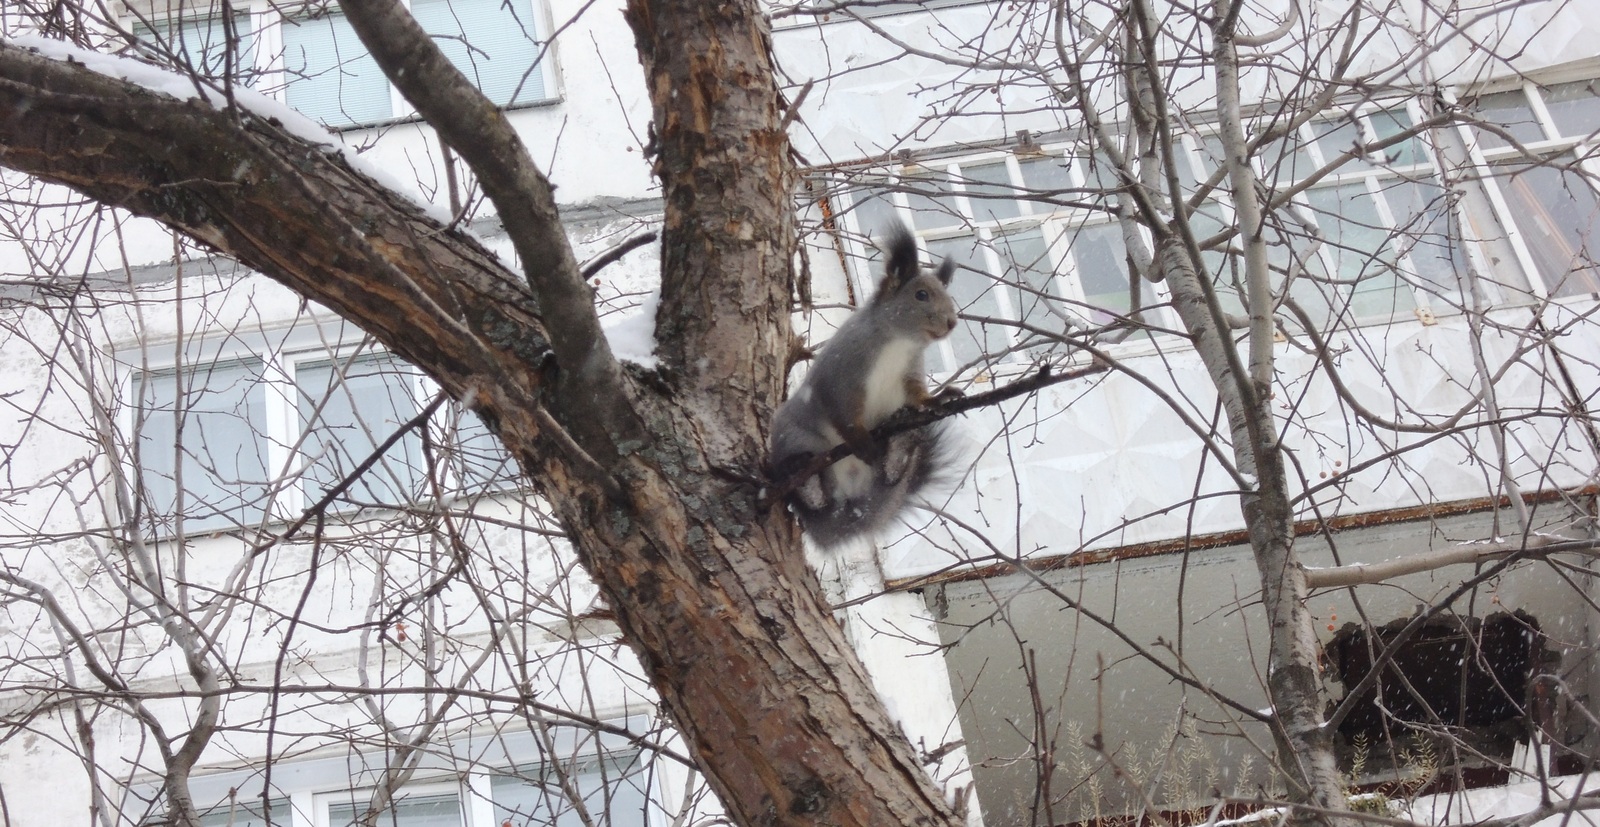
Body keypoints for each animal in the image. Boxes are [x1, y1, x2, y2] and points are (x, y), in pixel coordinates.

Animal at [768, 222, 953, 543]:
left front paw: (937, 398)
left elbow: (917, 395)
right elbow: (844, 414)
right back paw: (804, 479)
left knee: (889, 477)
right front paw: (861, 441)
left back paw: (899, 448)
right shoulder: (843, 376)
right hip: (796, 437)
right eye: (921, 295)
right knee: (817, 501)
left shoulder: (910, 372)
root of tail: (851, 498)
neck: (898, 342)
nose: (953, 322)